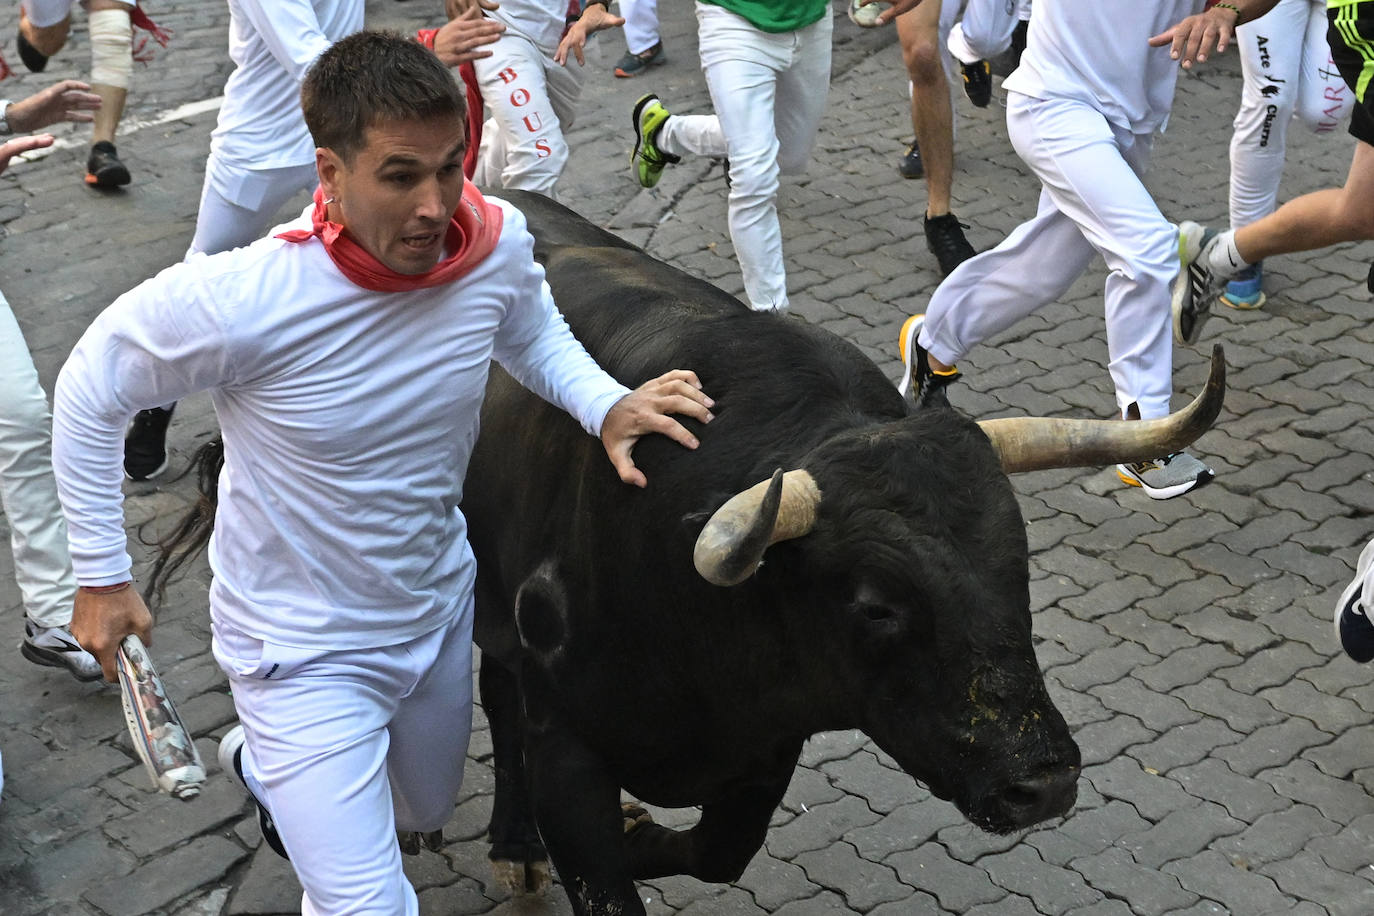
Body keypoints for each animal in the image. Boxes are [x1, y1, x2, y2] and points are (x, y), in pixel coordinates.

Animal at [461, 189, 1225, 911]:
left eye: (1019, 570)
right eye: (875, 606)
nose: (1042, 782)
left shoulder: (767, 747)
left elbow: (718, 852)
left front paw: (637, 832)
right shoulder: (563, 748)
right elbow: (604, 878)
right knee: (497, 694)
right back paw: (514, 844)